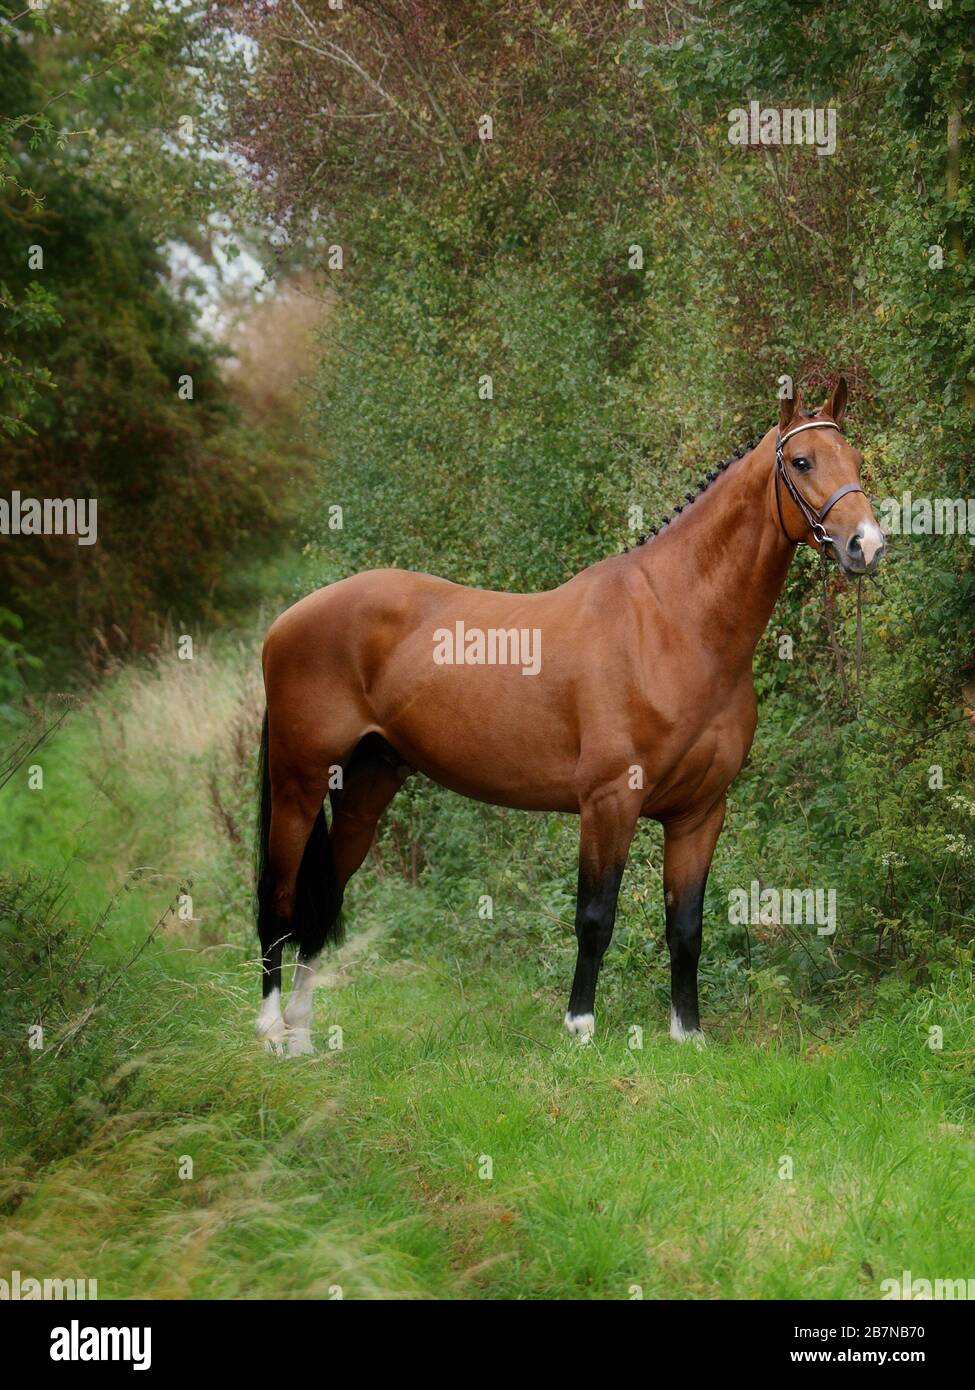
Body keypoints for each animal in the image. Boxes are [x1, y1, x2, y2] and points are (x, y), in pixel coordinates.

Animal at [254, 380, 884, 1050]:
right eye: (802, 461)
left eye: (855, 460)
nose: (866, 545)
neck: (674, 623)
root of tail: (287, 621)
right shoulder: (608, 801)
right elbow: (595, 917)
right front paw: (579, 1027)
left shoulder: (700, 812)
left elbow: (685, 925)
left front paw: (686, 1033)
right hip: (297, 785)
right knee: (281, 898)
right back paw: (269, 1032)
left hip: (365, 786)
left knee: (324, 902)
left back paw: (302, 1037)